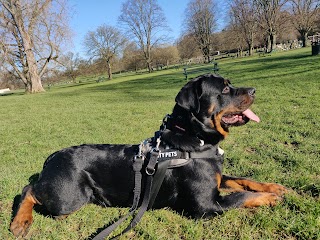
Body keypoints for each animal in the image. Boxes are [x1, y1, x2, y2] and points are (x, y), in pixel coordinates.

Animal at [10, 74, 288, 237]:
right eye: (226, 89)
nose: (254, 89)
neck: (196, 137)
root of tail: (53, 156)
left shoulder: (218, 178)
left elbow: (244, 180)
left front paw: (274, 187)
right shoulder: (205, 206)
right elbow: (240, 196)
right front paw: (270, 198)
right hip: (70, 197)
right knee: (29, 189)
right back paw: (20, 222)